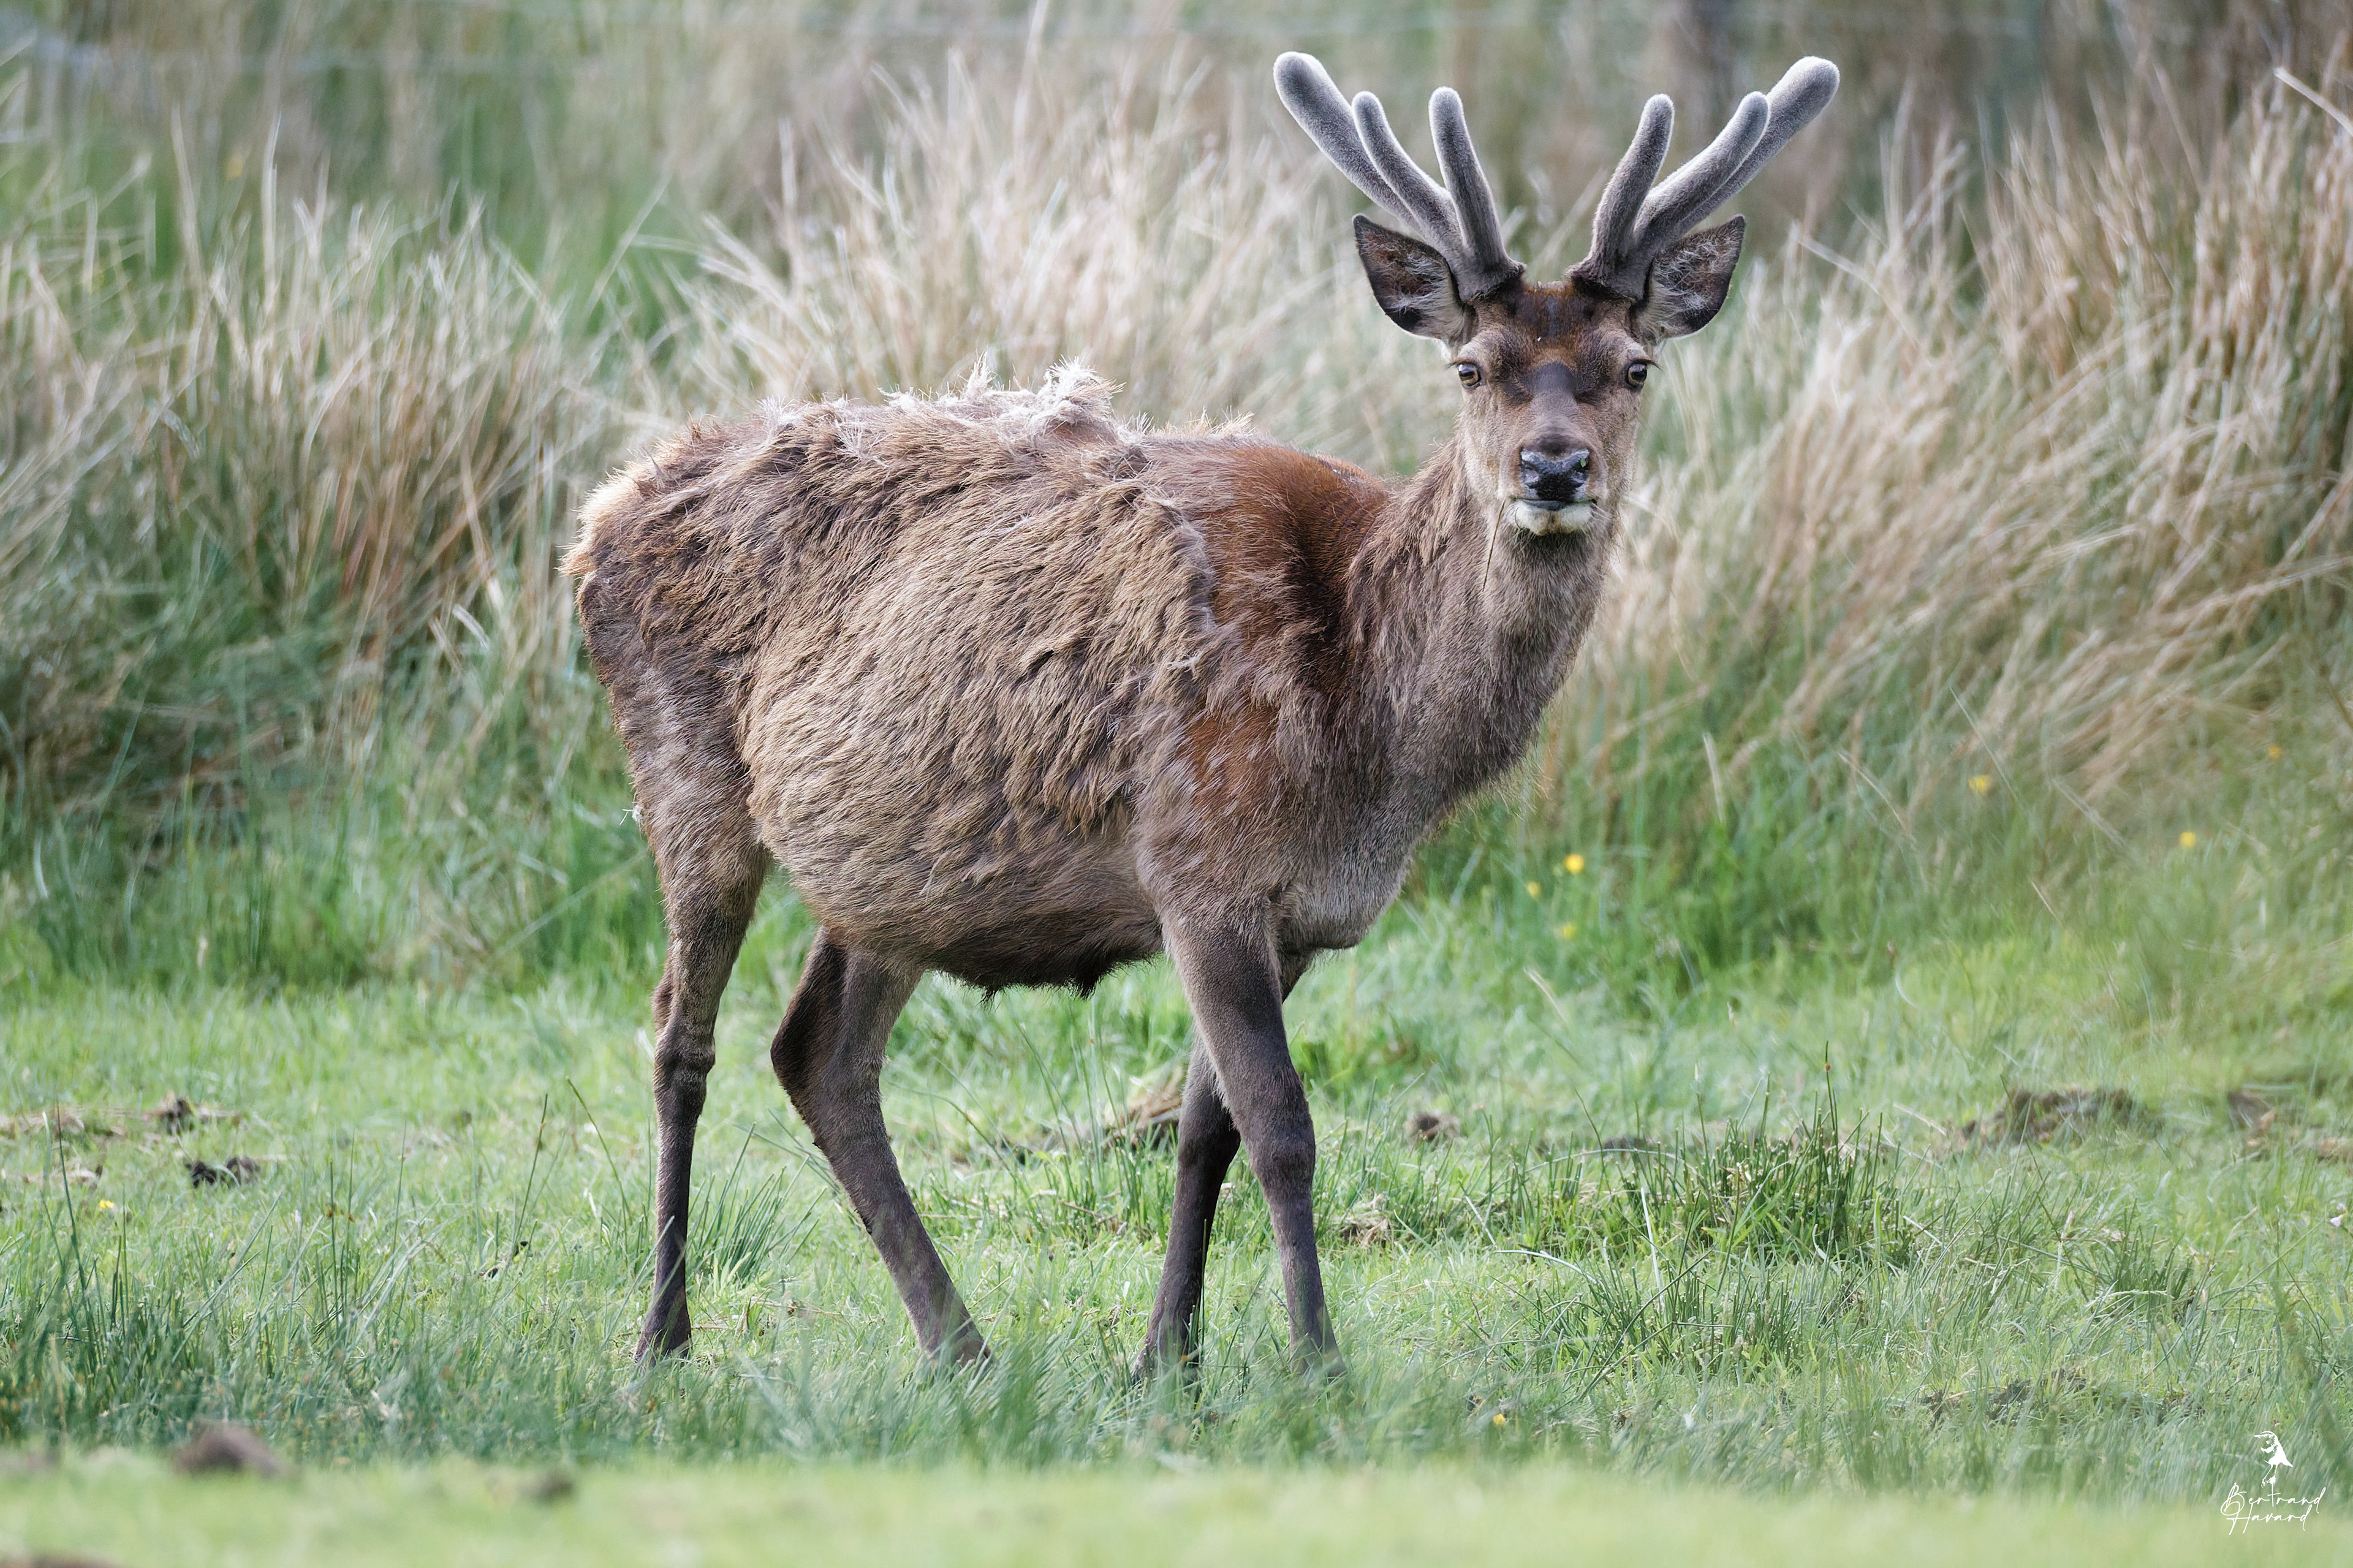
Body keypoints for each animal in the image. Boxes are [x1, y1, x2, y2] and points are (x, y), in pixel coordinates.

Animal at [566, 50, 1837, 1373]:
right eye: (1470, 365)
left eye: (1634, 366)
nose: (1553, 468)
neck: (1373, 752)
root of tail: (601, 514)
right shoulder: (1199, 859)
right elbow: (1284, 1126)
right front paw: (1315, 1356)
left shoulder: (1293, 916)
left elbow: (1203, 1130)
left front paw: (1166, 1355)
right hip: (684, 773)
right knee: (681, 1035)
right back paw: (663, 1334)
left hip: (887, 875)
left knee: (817, 1050)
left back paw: (961, 1343)